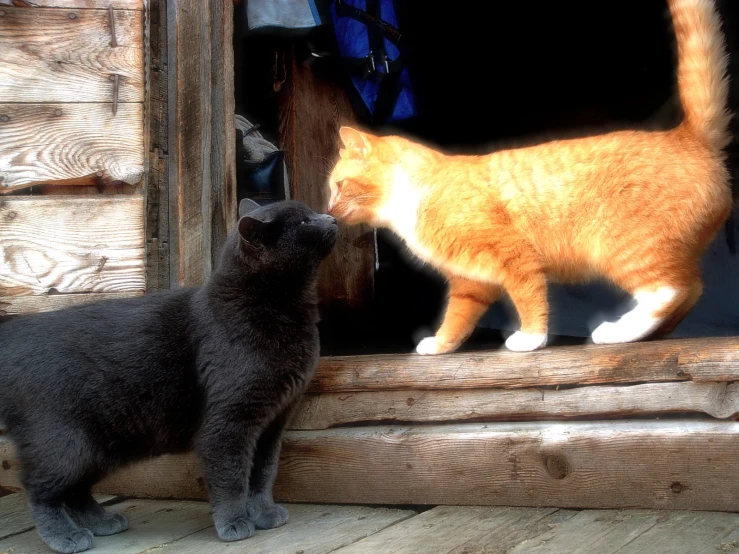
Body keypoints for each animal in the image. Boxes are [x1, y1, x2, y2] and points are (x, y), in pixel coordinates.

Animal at [326, 0, 732, 354]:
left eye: (337, 186)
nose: (327, 210)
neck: (415, 193)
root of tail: (687, 136)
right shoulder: (472, 282)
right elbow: (457, 319)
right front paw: (439, 346)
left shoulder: (515, 256)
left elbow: (528, 298)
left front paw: (531, 339)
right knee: (691, 289)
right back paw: (645, 335)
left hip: (622, 247)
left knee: (669, 290)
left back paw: (617, 332)